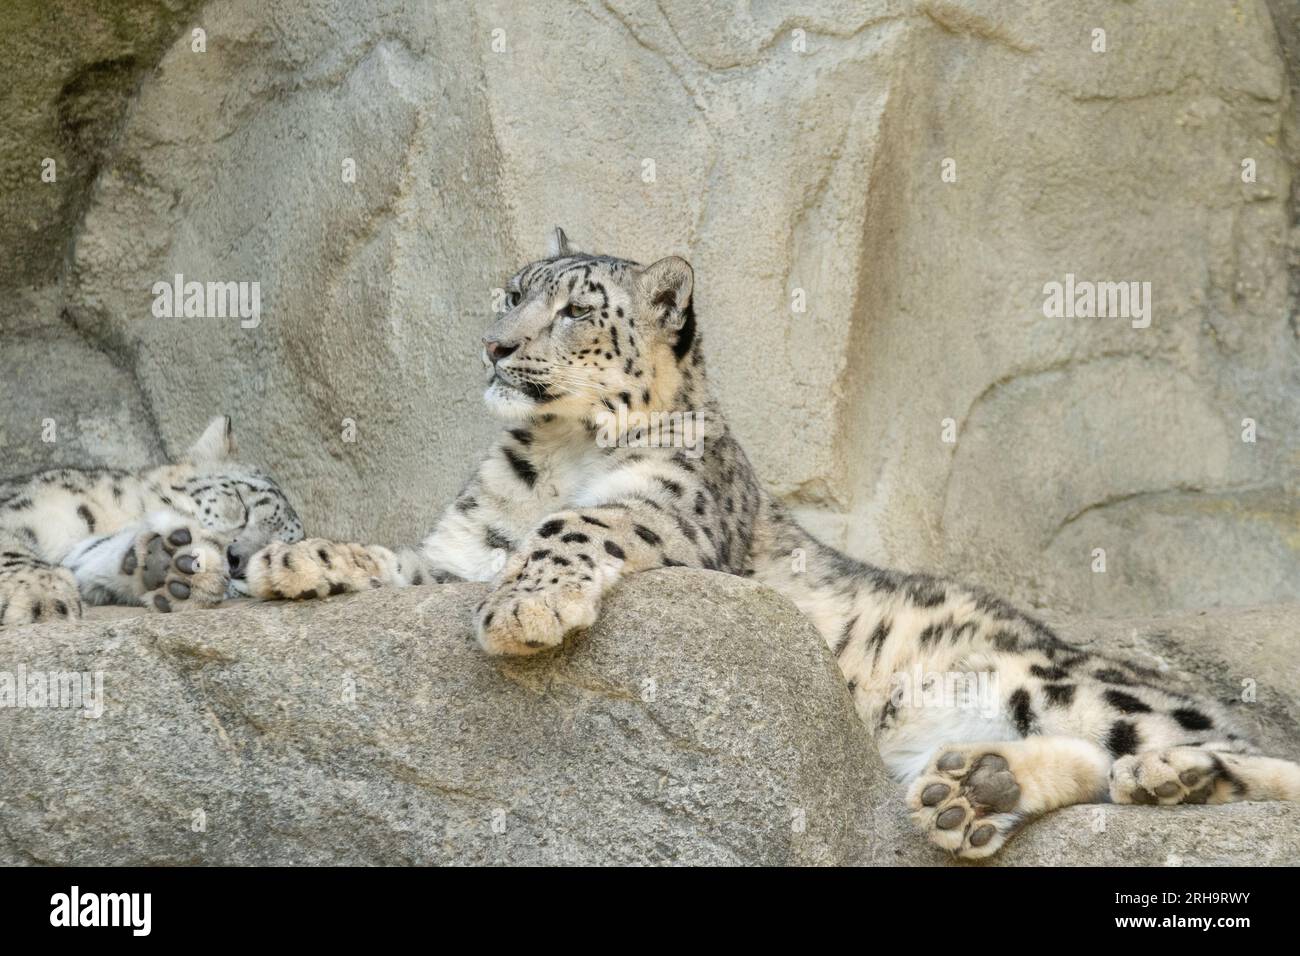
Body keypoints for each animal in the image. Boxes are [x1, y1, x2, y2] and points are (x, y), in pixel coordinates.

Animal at [0, 416, 301, 624]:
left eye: (263, 560)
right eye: (241, 504)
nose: (235, 559)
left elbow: (95, 553)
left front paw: (174, 566)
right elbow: (10, 545)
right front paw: (39, 595)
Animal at [244, 230, 1300, 858]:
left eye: (576, 309)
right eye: (509, 292)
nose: (496, 348)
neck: (547, 455)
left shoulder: (666, 510)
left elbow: (575, 524)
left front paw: (526, 605)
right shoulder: (464, 543)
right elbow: (407, 560)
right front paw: (296, 560)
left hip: (1064, 682)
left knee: (1244, 752)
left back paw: (1169, 775)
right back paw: (978, 790)